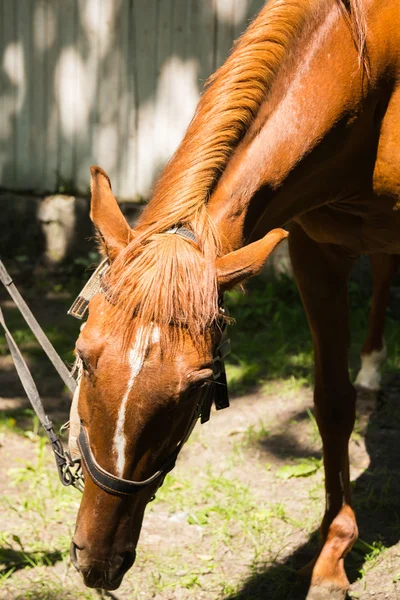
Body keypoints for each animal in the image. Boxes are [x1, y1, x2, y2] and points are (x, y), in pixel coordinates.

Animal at [71, 2, 400, 596]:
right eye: (83, 357)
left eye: (198, 386)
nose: (97, 560)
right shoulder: (314, 252)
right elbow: (331, 402)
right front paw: (331, 552)